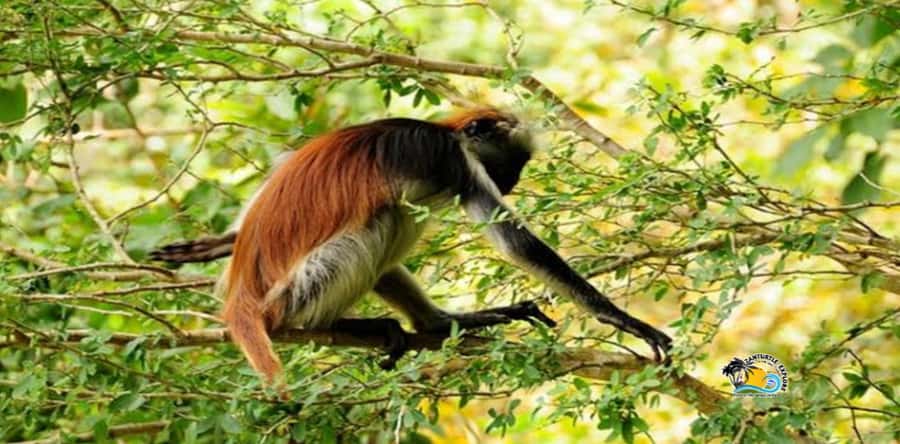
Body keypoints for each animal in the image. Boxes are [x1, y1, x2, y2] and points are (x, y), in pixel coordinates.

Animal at [150, 108, 672, 385]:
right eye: (512, 165)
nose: (515, 181)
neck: (442, 128)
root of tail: (245, 288)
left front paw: (212, 244)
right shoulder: (455, 161)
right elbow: (516, 244)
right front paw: (624, 321)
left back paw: (437, 323)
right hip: (294, 291)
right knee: (382, 222)